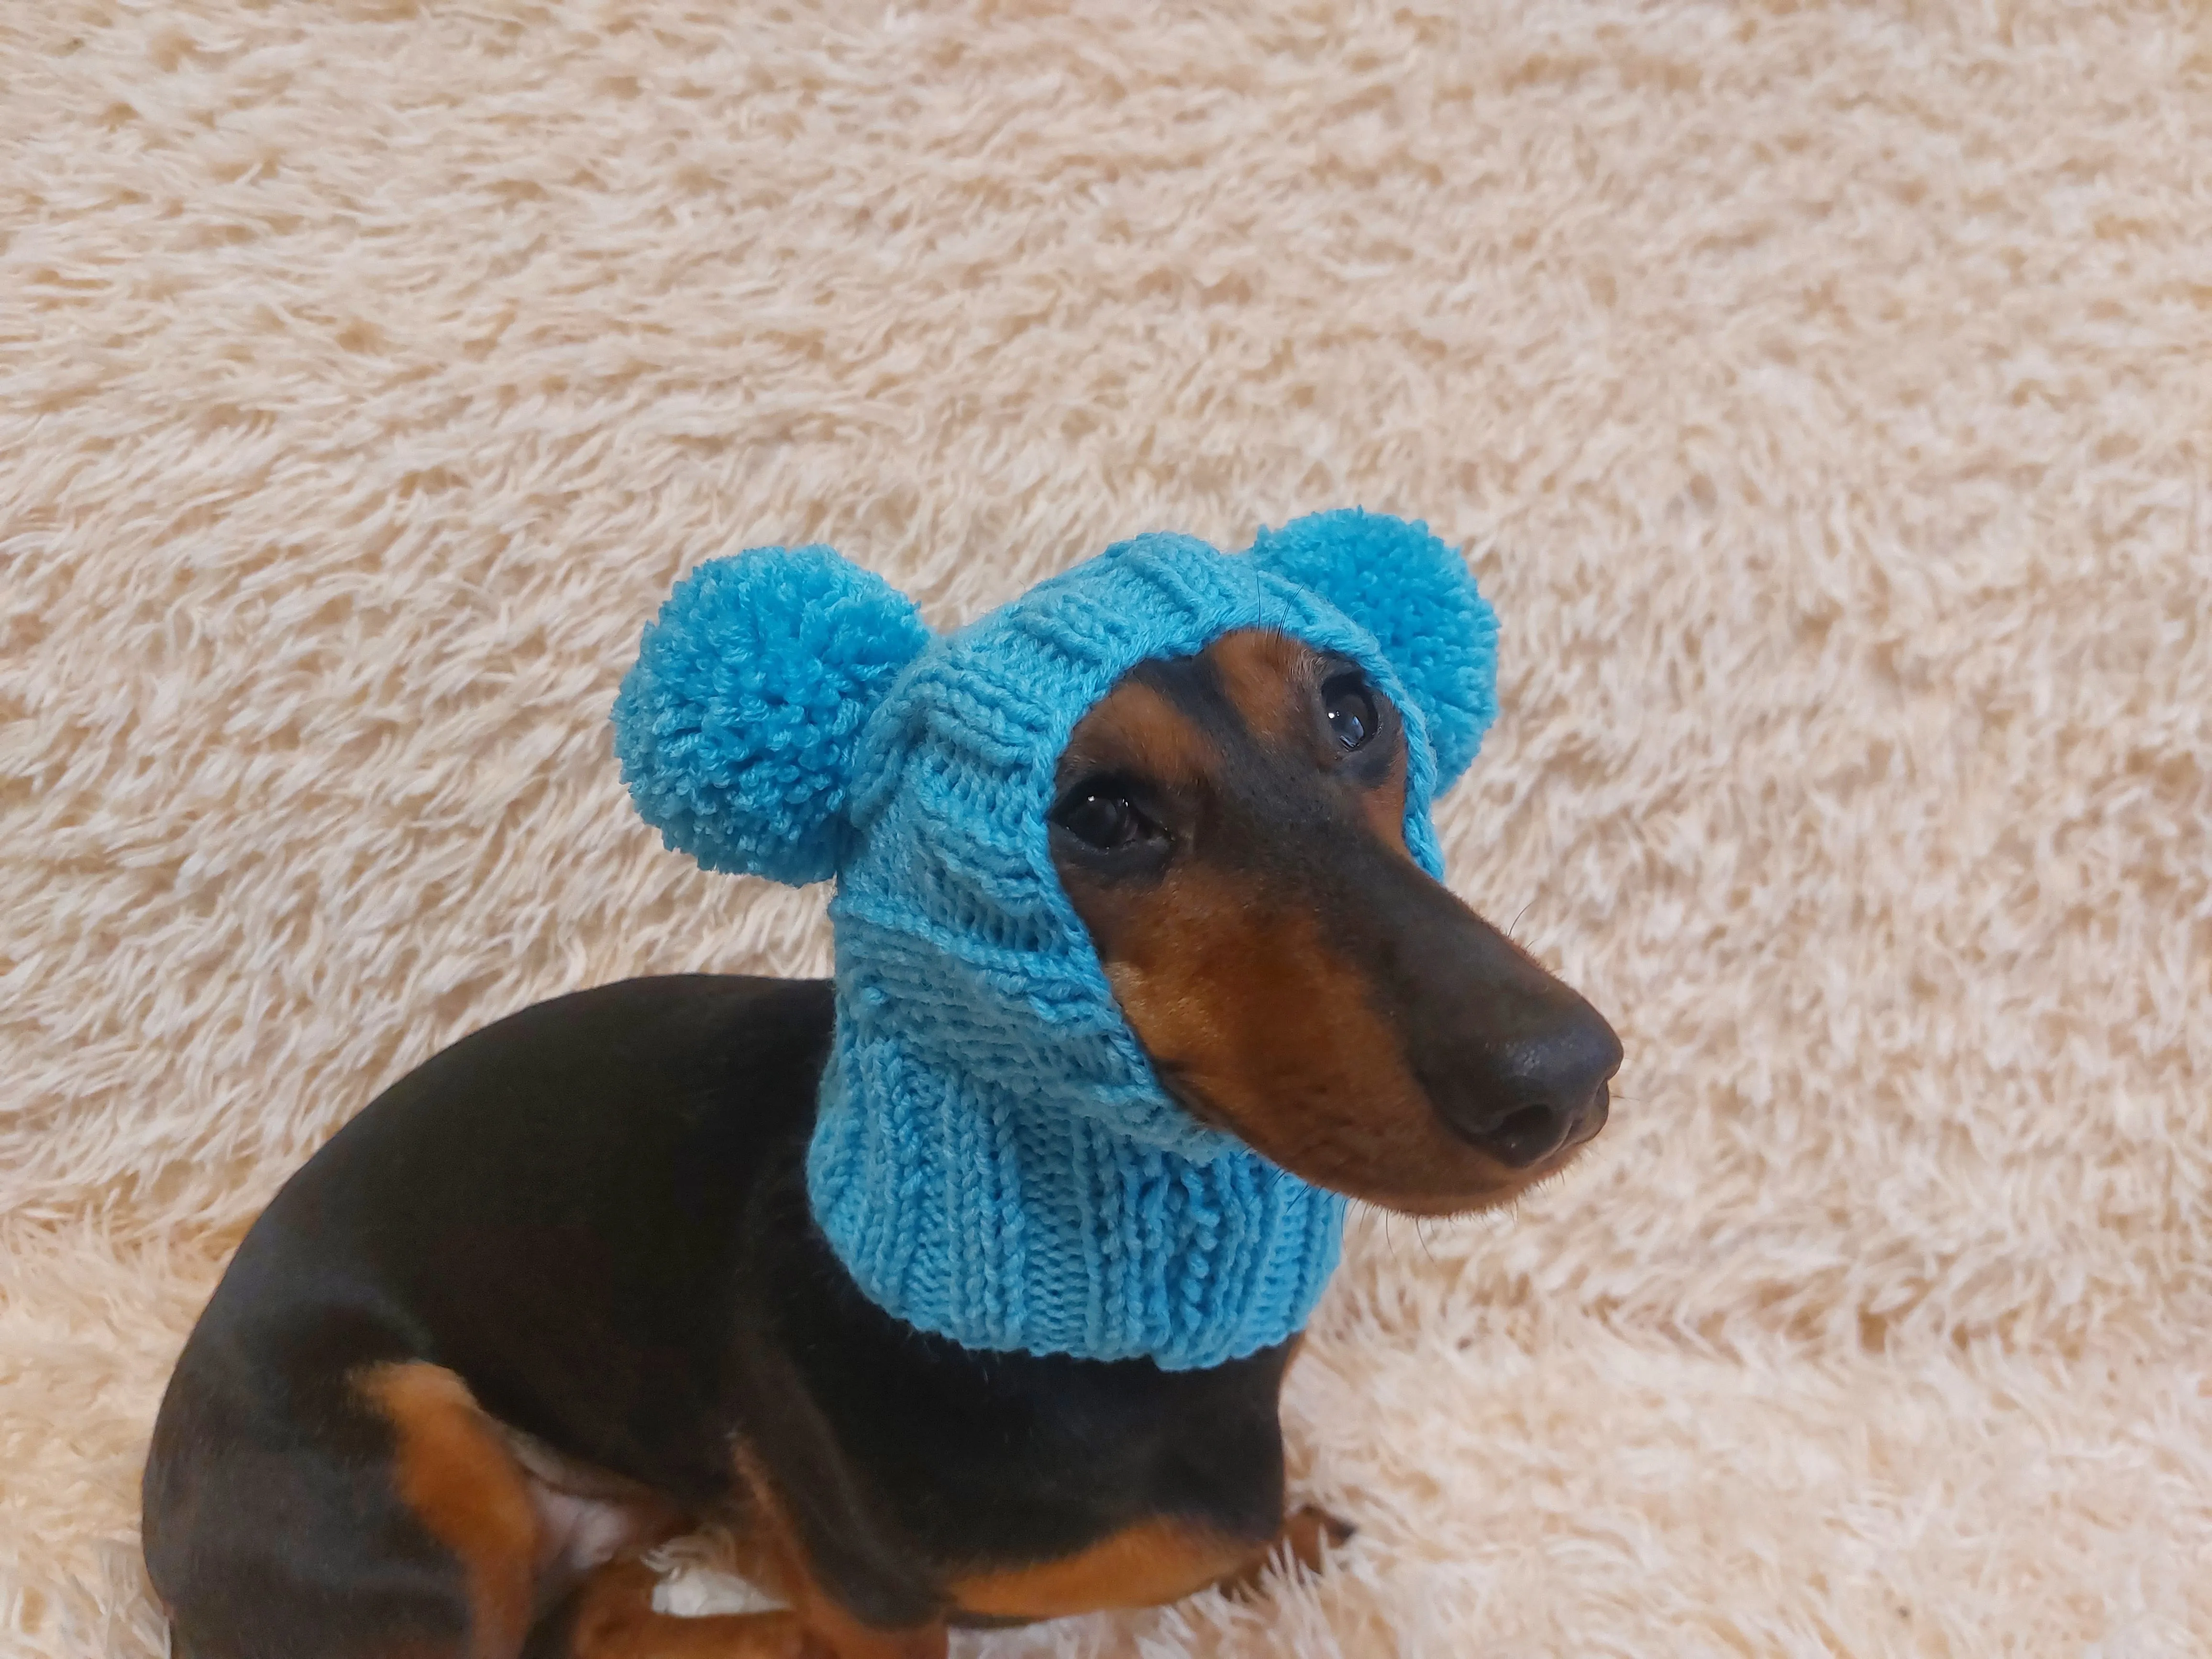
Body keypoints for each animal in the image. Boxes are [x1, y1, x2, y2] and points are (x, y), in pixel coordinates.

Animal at [143, 535, 1628, 1659]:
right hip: (420, 1446)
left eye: (1351, 709)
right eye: (1098, 812)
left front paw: (1291, 1536)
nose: (1566, 1076)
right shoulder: (885, 1606)